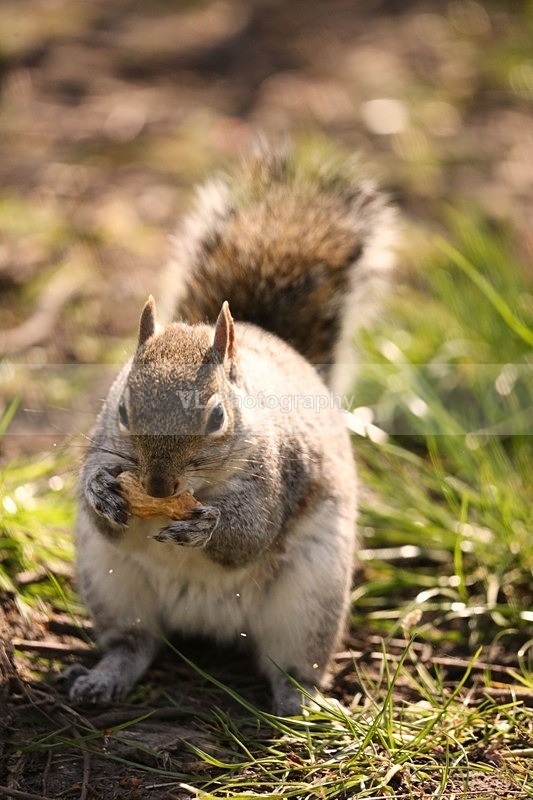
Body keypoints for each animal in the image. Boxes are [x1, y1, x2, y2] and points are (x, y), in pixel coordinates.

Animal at [66, 142, 396, 715]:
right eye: (123, 408)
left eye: (217, 417)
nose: (158, 487)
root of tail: (206, 623)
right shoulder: (104, 448)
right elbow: (103, 506)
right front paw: (102, 491)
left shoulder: (277, 474)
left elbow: (250, 535)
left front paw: (208, 527)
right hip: (111, 582)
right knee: (135, 642)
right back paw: (105, 677)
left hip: (309, 601)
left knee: (289, 664)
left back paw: (301, 701)